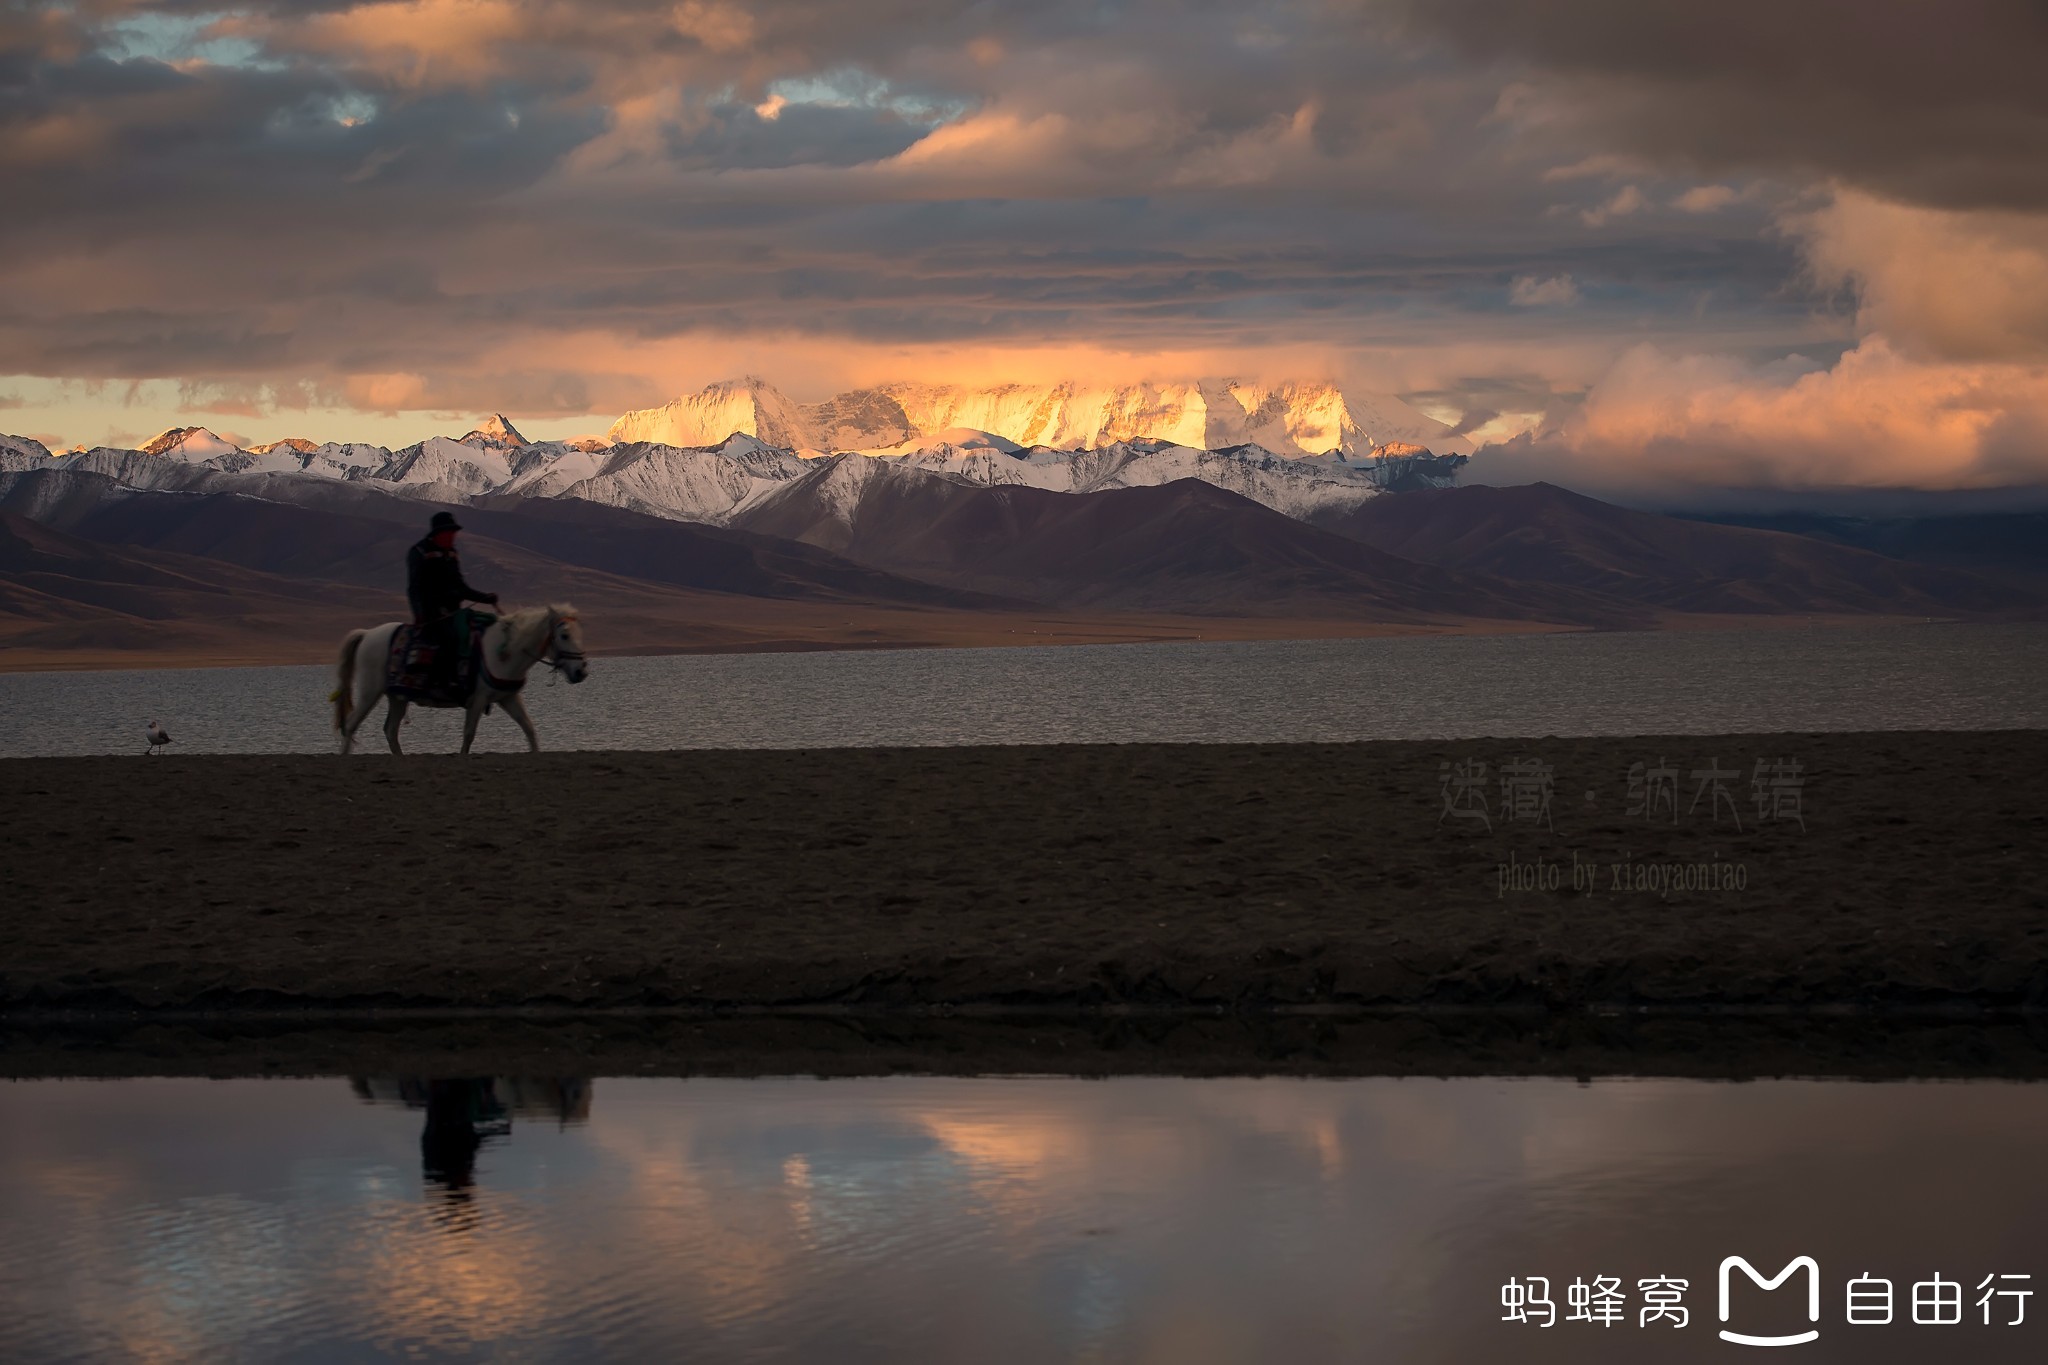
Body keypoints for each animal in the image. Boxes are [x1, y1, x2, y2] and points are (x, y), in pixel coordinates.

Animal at [327, 605, 585, 757]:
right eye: (564, 635)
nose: (581, 671)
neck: (504, 651)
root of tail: (367, 634)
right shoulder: (478, 699)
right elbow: (469, 733)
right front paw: (462, 756)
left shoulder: (508, 697)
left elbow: (529, 728)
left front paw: (535, 754)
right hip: (370, 691)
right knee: (351, 724)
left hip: (397, 697)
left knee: (390, 730)